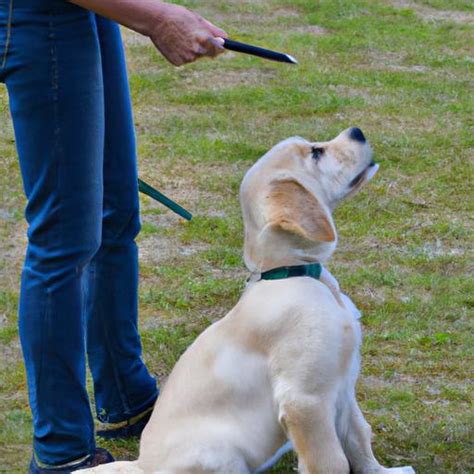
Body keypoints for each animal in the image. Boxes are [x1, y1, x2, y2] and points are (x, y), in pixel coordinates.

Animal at [86, 128, 414, 472]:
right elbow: (331, 461)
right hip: (220, 452)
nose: (357, 132)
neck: (292, 273)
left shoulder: (343, 387)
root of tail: (141, 465)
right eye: (316, 153)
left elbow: (358, 435)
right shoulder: (305, 400)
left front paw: (383, 471)